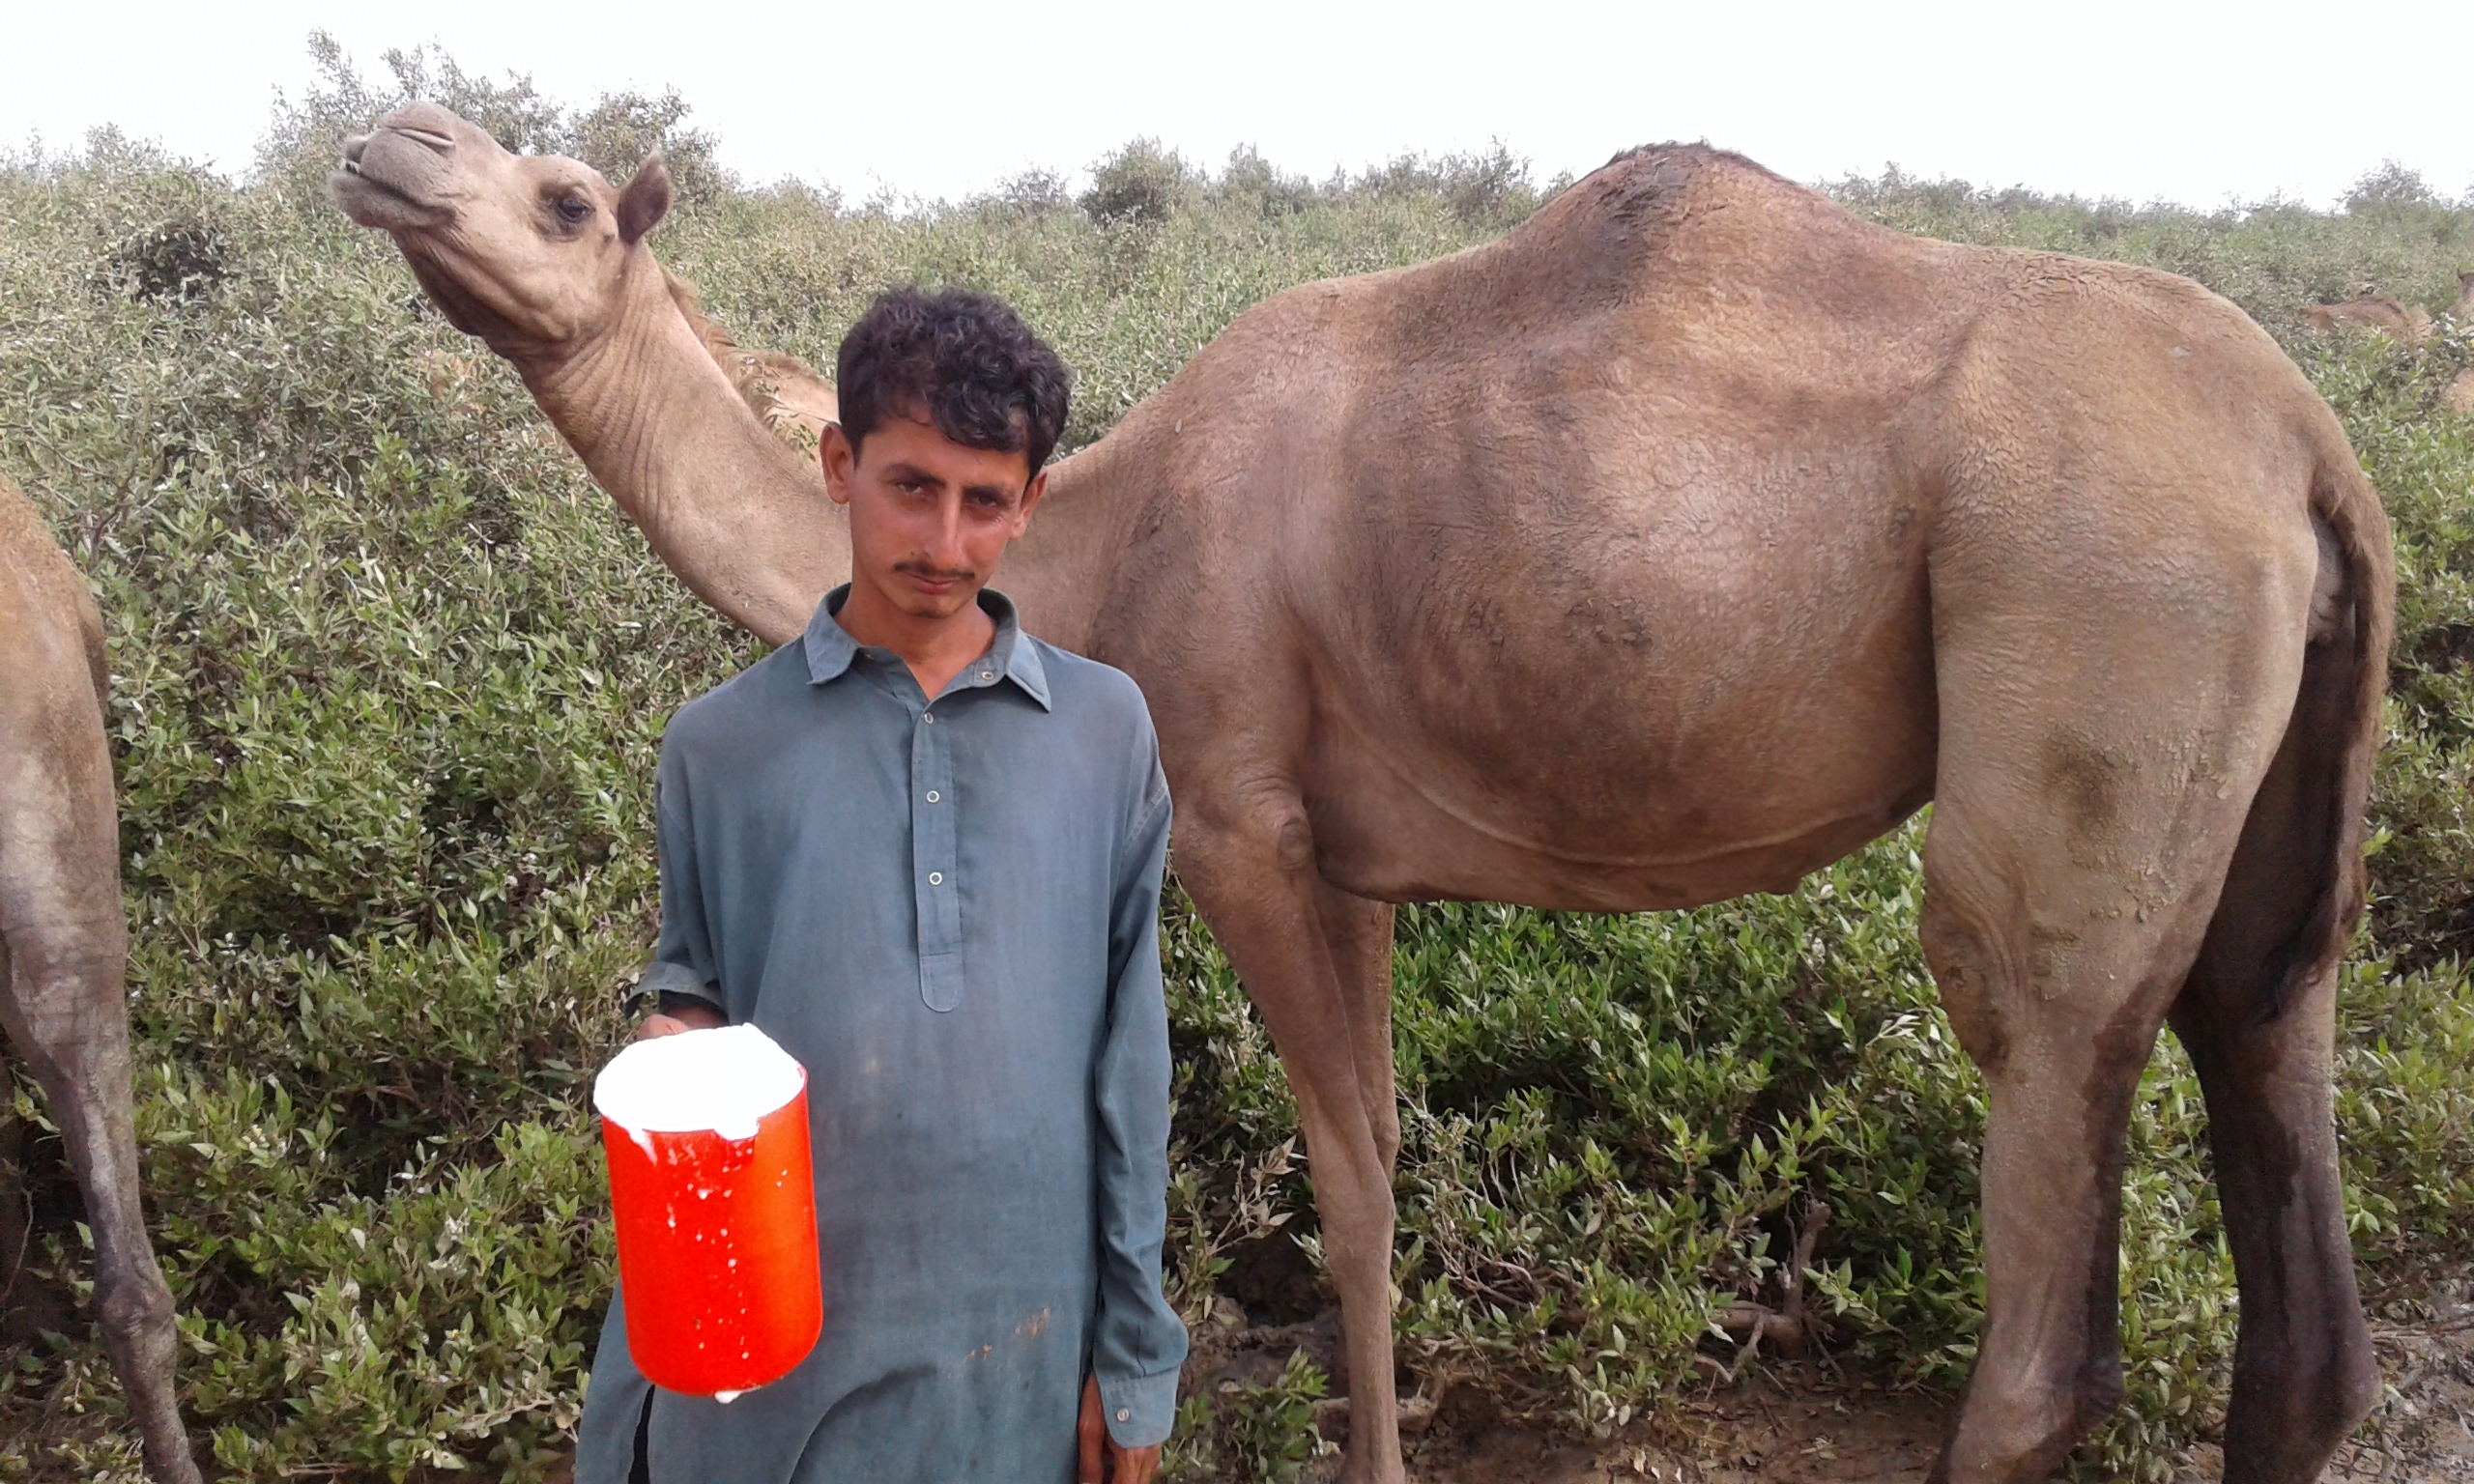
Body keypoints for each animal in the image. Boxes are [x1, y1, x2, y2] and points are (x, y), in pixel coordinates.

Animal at [334, 103, 2394, 1484]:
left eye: (564, 194)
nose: (387, 146)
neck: (1089, 538)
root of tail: (2314, 449)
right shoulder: (1364, 865)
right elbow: (1382, 1163)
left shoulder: (1250, 824)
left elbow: (1348, 1197)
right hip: (2280, 792)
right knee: (2270, 1096)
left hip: (2095, 628)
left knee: (2034, 1117)